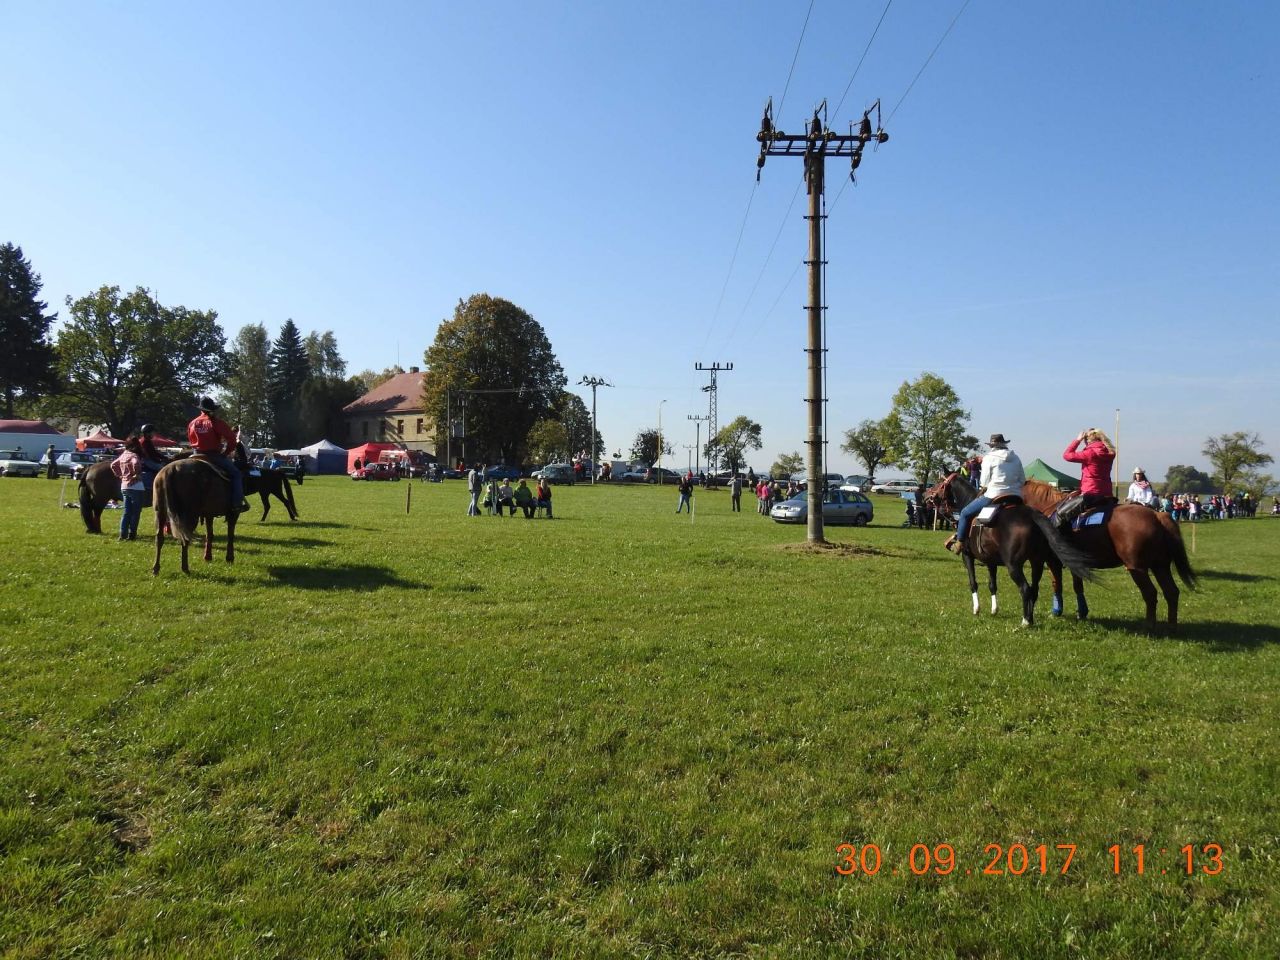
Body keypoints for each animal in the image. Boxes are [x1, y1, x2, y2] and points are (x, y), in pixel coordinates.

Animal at [926, 473, 1097, 626]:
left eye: (939, 482)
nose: (925, 494)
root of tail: (1033, 516)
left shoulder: (967, 556)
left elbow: (973, 583)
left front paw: (976, 609)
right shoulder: (991, 562)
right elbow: (992, 585)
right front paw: (994, 610)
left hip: (1014, 566)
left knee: (1025, 589)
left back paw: (1025, 621)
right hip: (1037, 563)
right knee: (1034, 590)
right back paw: (1030, 619)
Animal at [1017, 479, 1196, 632]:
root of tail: (1157, 516)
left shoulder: (1052, 561)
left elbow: (1057, 584)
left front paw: (1056, 611)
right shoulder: (1076, 563)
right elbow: (1077, 586)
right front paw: (1082, 612)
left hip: (1137, 568)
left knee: (1151, 594)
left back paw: (1148, 625)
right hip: (1160, 566)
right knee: (1171, 592)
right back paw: (1171, 626)